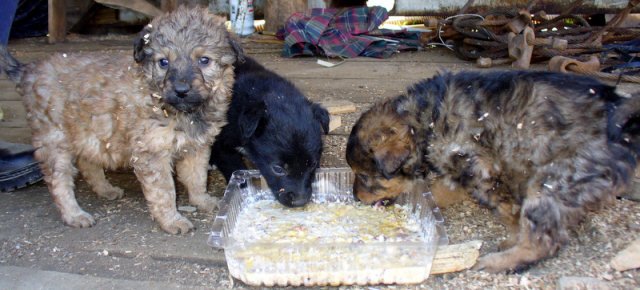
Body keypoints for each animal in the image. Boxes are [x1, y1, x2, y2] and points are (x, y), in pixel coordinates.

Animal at [0, 6, 240, 233]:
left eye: (204, 60)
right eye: (163, 62)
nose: (181, 90)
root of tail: (29, 70)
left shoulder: (198, 147)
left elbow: (197, 178)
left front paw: (203, 201)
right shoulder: (152, 153)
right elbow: (165, 192)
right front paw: (172, 220)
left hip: (88, 132)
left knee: (88, 162)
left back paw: (106, 189)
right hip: (54, 141)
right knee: (60, 182)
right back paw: (75, 215)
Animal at [348, 70, 640, 272]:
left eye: (365, 176)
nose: (355, 198)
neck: (424, 120)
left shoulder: (480, 170)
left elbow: (507, 210)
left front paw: (513, 235)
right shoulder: (461, 170)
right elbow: (440, 189)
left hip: (553, 181)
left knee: (543, 240)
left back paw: (501, 261)